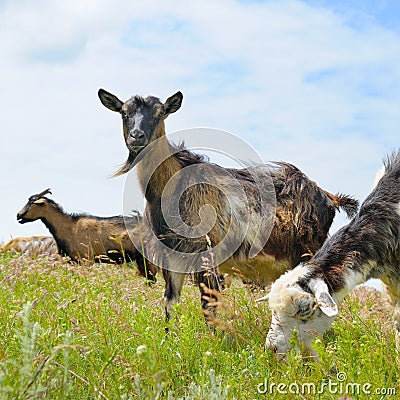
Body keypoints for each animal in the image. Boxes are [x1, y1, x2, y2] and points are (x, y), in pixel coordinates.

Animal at [97, 89, 360, 324]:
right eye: (124, 113)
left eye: (159, 113)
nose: (137, 136)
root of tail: (329, 196)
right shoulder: (172, 259)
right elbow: (170, 304)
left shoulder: (209, 256)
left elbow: (208, 308)